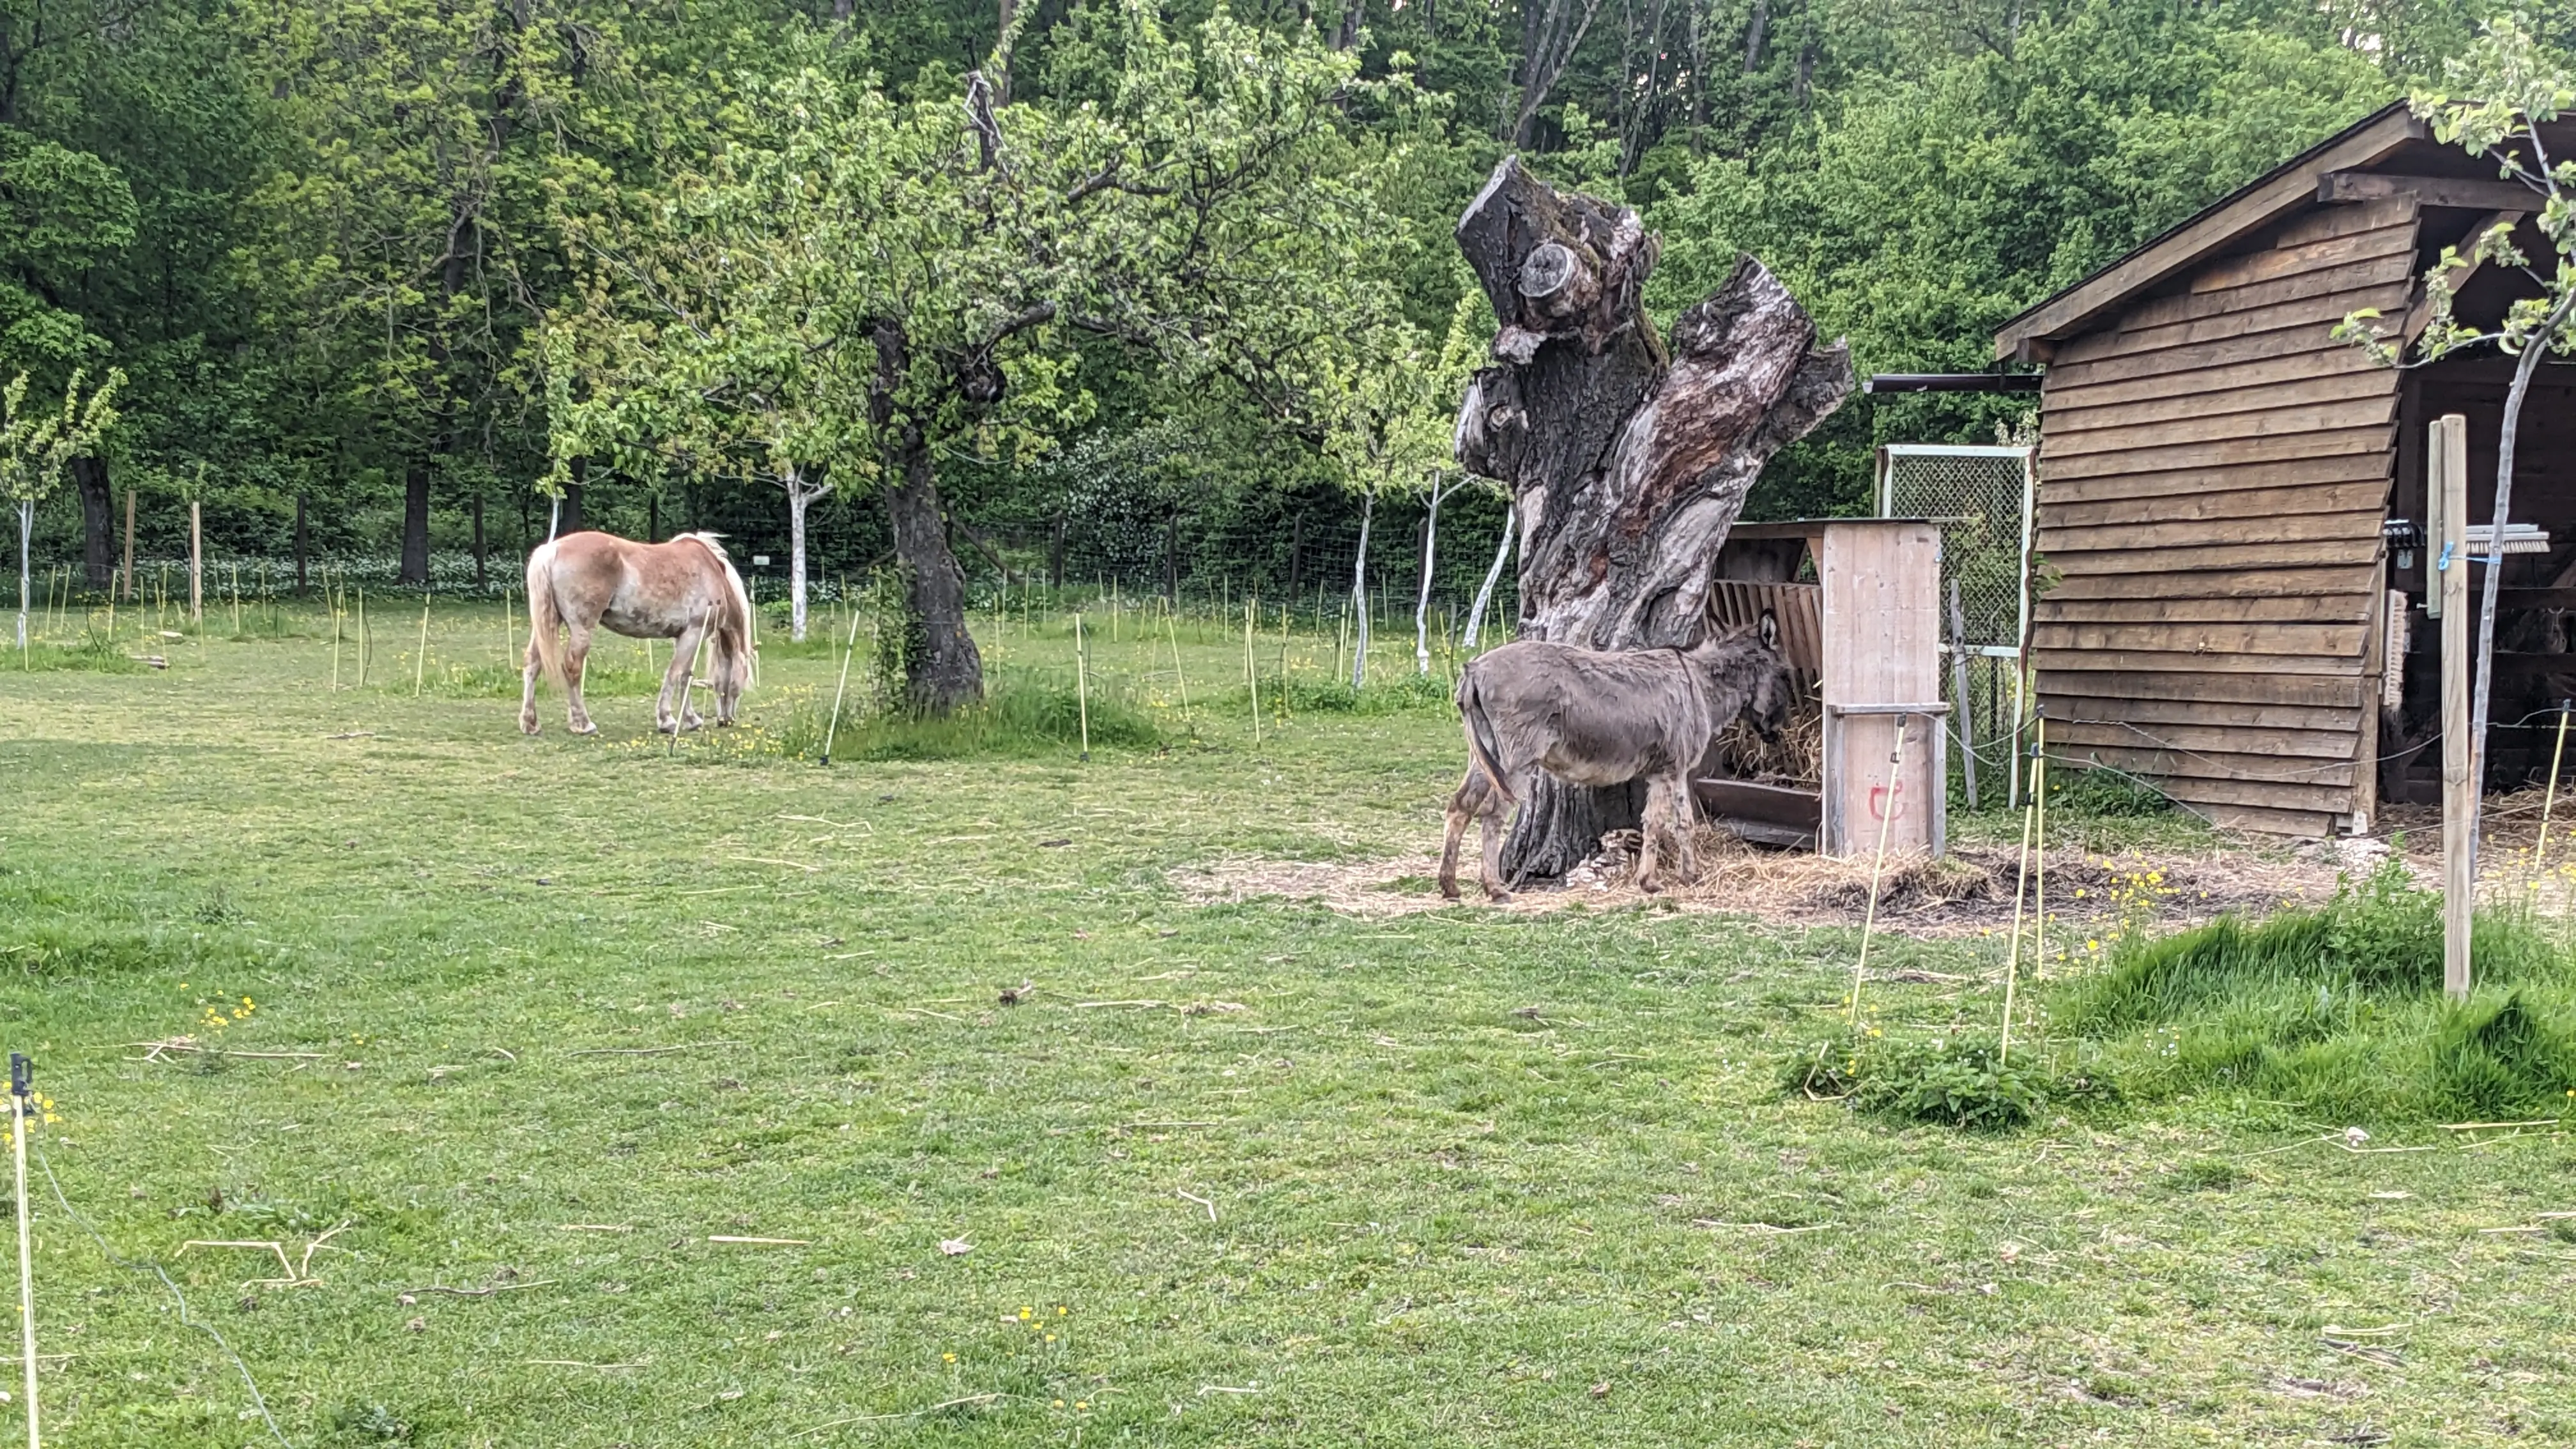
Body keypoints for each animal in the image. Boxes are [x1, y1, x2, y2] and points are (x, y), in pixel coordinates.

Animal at [521, 531, 753, 736]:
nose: (727, 720)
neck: (712, 570)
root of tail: (552, 550)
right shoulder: (693, 633)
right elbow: (677, 674)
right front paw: (667, 721)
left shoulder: (685, 636)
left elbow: (685, 676)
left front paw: (690, 719)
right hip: (582, 630)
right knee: (572, 668)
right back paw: (583, 724)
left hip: (547, 623)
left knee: (533, 664)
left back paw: (530, 723)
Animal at [1439, 614, 1796, 903]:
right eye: (1786, 675)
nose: (1779, 732)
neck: (1700, 686)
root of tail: (1475, 670)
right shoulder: (1672, 768)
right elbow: (1668, 822)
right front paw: (1660, 880)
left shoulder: (1668, 771)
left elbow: (1670, 822)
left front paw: (1679, 877)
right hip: (1517, 761)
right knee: (1493, 815)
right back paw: (1496, 889)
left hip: (1486, 756)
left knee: (1460, 806)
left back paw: (1450, 886)